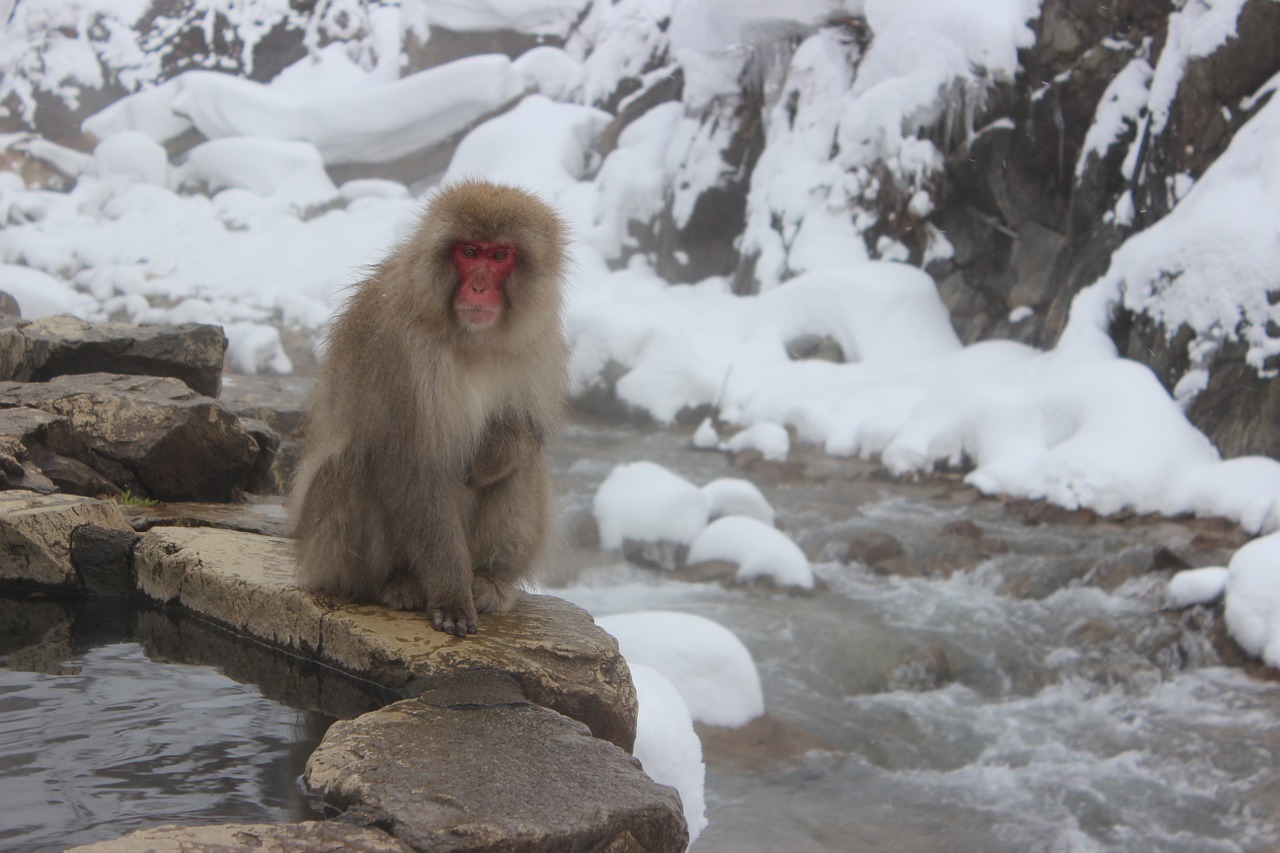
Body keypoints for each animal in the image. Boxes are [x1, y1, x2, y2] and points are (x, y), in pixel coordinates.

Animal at [293, 178, 573, 630]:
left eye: (499, 255)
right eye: (469, 252)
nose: (478, 287)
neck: (470, 339)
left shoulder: (540, 341)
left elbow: (521, 433)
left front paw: (500, 448)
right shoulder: (399, 352)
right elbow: (416, 469)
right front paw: (451, 596)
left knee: (525, 464)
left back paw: (489, 578)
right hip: (327, 552)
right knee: (353, 465)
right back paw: (396, 582)